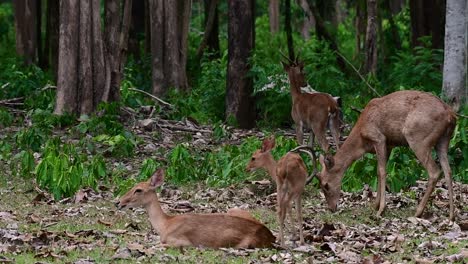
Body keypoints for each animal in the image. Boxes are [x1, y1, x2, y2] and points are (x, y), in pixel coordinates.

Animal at [117, 169, 276, 248]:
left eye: (138, 190)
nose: (118, 202)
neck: (165, 225)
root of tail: (271, 236)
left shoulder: (181, 241)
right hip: (234, 209)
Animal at [314, 91, 458, 221]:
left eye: (326, 185)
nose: (332, 208)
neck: (361, 139)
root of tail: (451, 115)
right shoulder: (389, 145)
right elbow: (378, 171)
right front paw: (375, 206)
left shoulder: (379, 138)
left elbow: (383, 172)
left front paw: (381, 210)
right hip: (443, 141)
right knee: (448, 170)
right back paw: (451, 215)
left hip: (418, 138)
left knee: (435, 171)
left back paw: (418, 212)